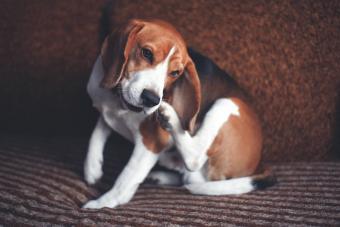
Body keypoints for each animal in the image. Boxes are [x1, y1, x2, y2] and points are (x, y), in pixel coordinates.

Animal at [83, 19, 274, 209]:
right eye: (146, 53)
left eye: (175, 73)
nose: (152, 99)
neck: (118, 102)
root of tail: (258, 163)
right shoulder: (105, 110)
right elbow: (98, 131)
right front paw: (92, 167)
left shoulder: (151, 142)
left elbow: (125, 178)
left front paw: (103, 203)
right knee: (189, 177)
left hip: (229, 103)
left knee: (194, 162)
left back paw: (171, 120)